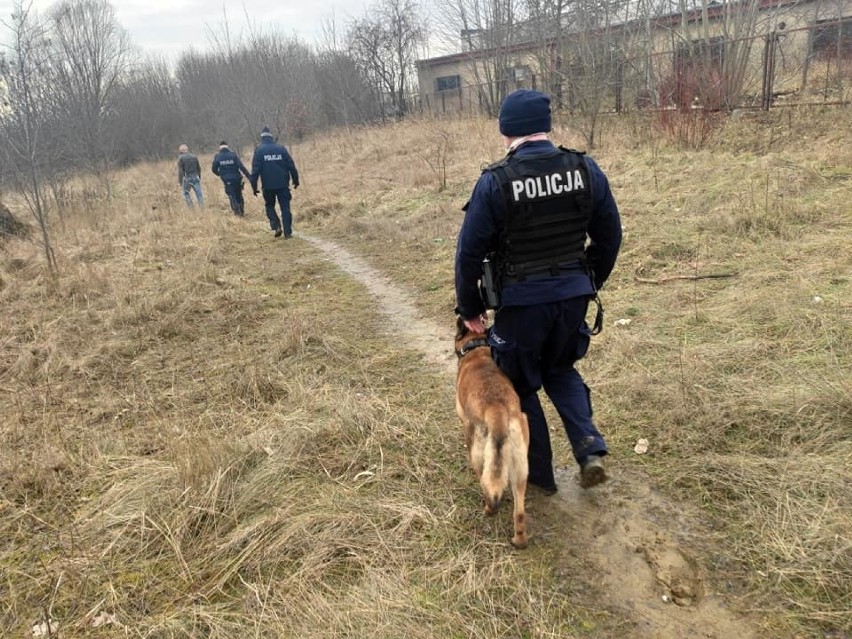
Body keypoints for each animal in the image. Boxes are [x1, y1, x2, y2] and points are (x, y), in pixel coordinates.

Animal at [456, 318, 528, 548]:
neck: (476, 347)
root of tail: (496, 409)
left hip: (478, 454)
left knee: (486, 484)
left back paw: (488, 509)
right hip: (520, 469)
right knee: (519, 512)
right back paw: (519, 541)